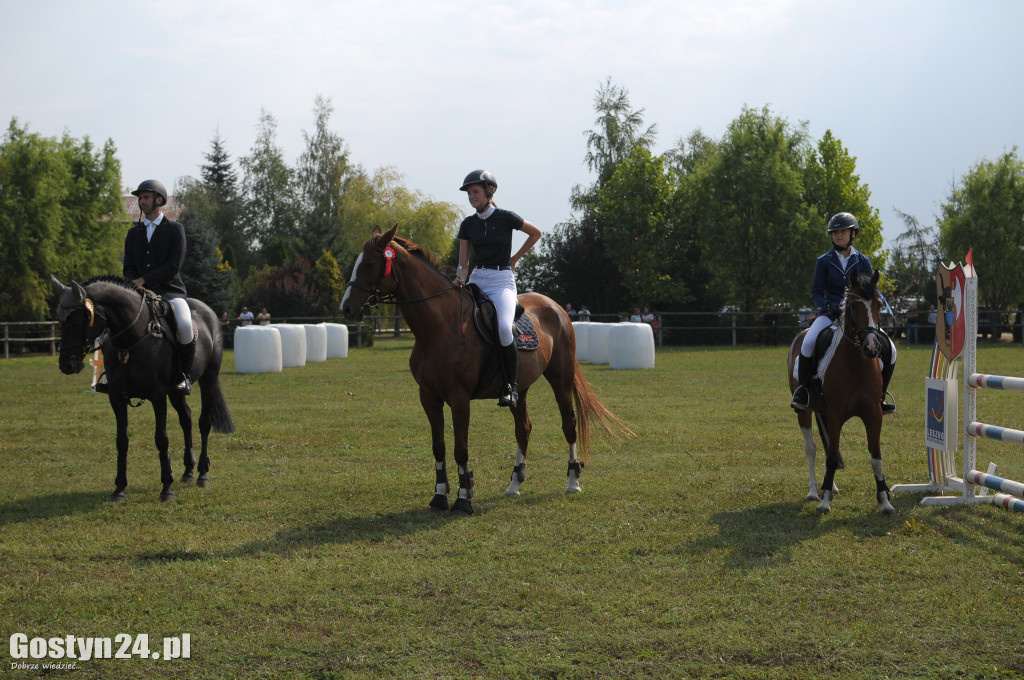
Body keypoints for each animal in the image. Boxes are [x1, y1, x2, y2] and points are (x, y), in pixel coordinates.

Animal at [51, 274, 234, 501]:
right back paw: (188, 472)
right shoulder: (116, 397)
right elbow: (121, 440)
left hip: (208, 379)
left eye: (76, 320)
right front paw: (119, 489)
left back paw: (202, 474)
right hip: (176, 392)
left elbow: (161, 439)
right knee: (186, 419)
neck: (131, 338)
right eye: (60, 320)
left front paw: (167, 488)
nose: (67, 365)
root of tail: (208, 312)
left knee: (203, 423)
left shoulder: (158, 396)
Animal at [339, 225, 626, 512]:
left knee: (569, 423)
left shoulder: (459, 398)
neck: (439, 328)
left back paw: (572, 481)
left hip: (560, 378)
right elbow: (439, 447)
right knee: (523, 429)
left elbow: (461, 449)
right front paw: (440, 495)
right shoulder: (428, 397)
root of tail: (556, 307)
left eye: (370, 263)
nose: (346, 308)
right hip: (520, 388)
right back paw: (514, 485)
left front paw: (463, 499)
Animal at [786, 270, 892, 516]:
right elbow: (832, 456)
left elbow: (876, 458)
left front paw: (885, 502)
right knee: (812, 448)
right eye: (852, 305)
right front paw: (824, 503)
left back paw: (830, 487)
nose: (872, 347)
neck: (856, 365)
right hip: (805, 412)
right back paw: (815, 491)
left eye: (879, 304)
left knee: (826, 448)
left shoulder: (874, 415)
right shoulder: (835, 415)